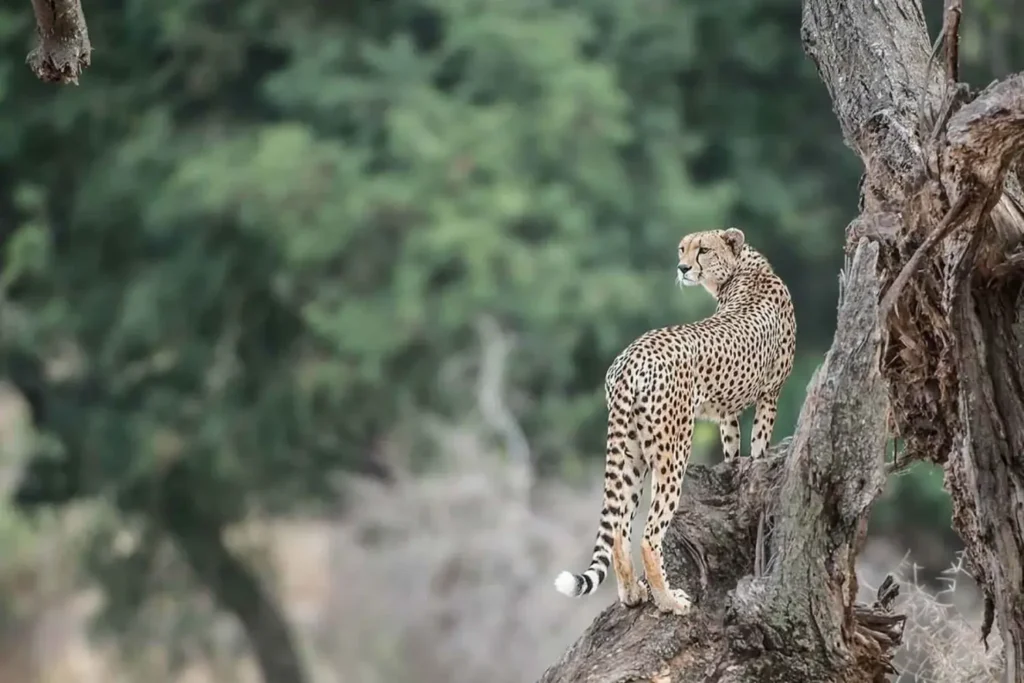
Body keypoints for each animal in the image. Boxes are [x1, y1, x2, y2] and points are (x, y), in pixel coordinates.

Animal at [553, 227, 796, 615]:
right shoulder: (769, 394)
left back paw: (633, 594)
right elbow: (759, 443)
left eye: (703, 249)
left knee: (619, 529)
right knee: (650, 534)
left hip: (630, 451)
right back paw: (668, 600)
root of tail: (631, 356)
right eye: (683, 249)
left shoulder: (727, 410)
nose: (682, 267)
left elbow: (732, 448)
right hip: (673, 449)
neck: (743, 268)